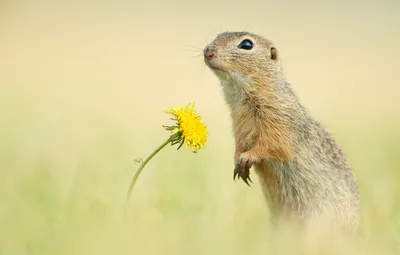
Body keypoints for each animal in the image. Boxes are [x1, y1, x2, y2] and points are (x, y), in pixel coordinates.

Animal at [205, 31, 360, 231]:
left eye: (246, 44)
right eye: (218, 35)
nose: (207, 51)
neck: (243, 99)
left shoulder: (281, 124)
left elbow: (273, 146)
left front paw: (248, 157)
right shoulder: (239, 128)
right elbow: (239, 146)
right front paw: (238, 160)